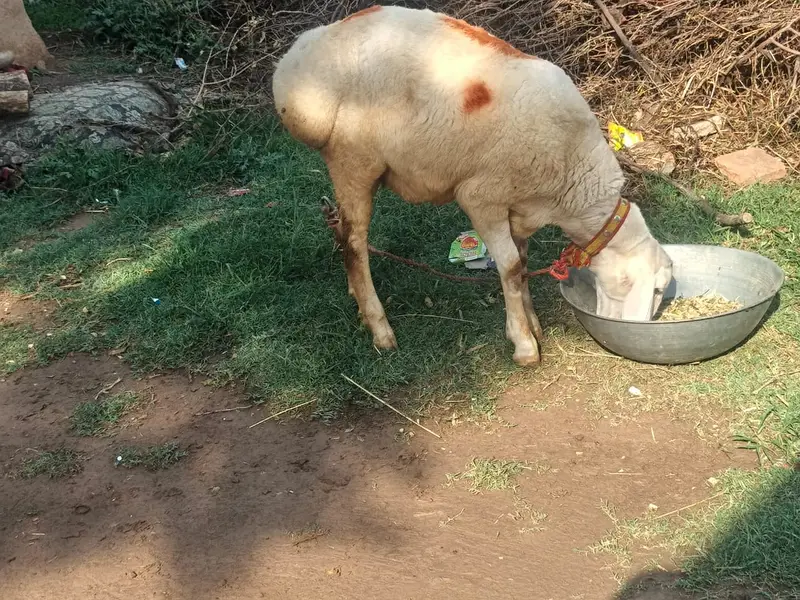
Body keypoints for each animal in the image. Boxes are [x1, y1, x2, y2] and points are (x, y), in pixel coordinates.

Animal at [272, 5, 673, 367]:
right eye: (654, 289)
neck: (573, 182)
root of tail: (299, 56)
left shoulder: (519, 206)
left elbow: (521, 262)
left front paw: (532, 323)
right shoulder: (482, 197)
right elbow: (509, 265)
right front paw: (524, 345)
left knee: (342, 233)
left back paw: (356, 298)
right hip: (353, 159)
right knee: (355, 243)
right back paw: (379, 328)